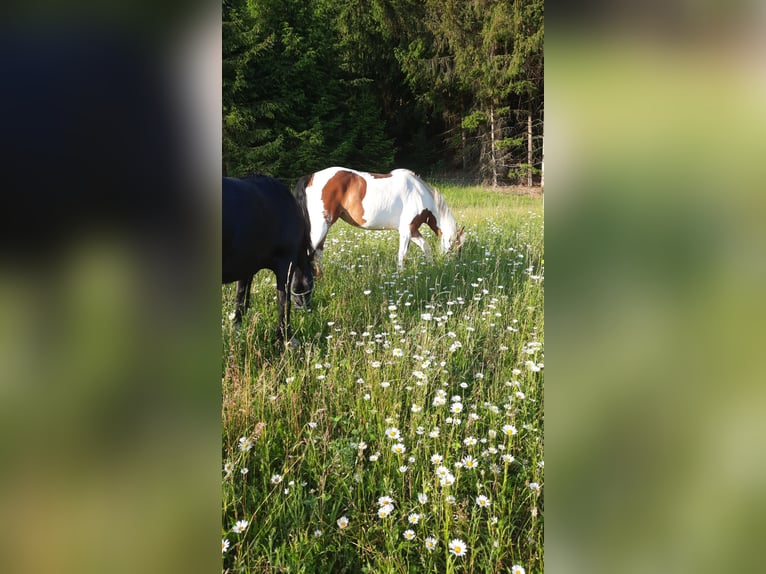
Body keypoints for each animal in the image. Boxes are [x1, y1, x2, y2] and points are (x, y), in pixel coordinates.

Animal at [222, 174, 316, 342]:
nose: (306, 310)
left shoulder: (246, 266)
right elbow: (283, 303)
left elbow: (241, 297)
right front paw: (283, 339)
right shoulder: (286, 265)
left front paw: (237, 327)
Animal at [292, 168, 462, 272]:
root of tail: (311, 177)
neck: (419, 194)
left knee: (317, 253)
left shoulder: (412, 230)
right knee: (310, 253)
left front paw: (432, 266)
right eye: (457, 247)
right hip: (320, 227)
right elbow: (402, 255)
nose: (455, 266)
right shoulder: (406, 232)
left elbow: (426, 247)